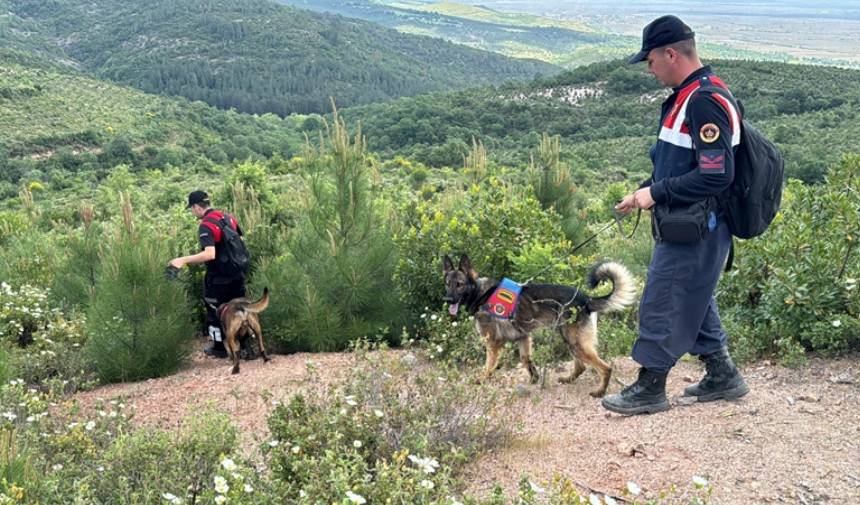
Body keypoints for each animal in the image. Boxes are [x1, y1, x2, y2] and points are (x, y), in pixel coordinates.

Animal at [444, 254, 640, 396]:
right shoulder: (523, 337)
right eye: (447, 284)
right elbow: (526, 360)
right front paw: (534, 379)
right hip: (570, 340)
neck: (481, 294)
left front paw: (482, 379)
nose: (447, 299)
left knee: (605, 368)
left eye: (459, 285)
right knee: (581, 366)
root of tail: (586, 298)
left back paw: (600, 391)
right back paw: (568, 379)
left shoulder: (492, 343)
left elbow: (489, 365)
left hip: (575, 342)